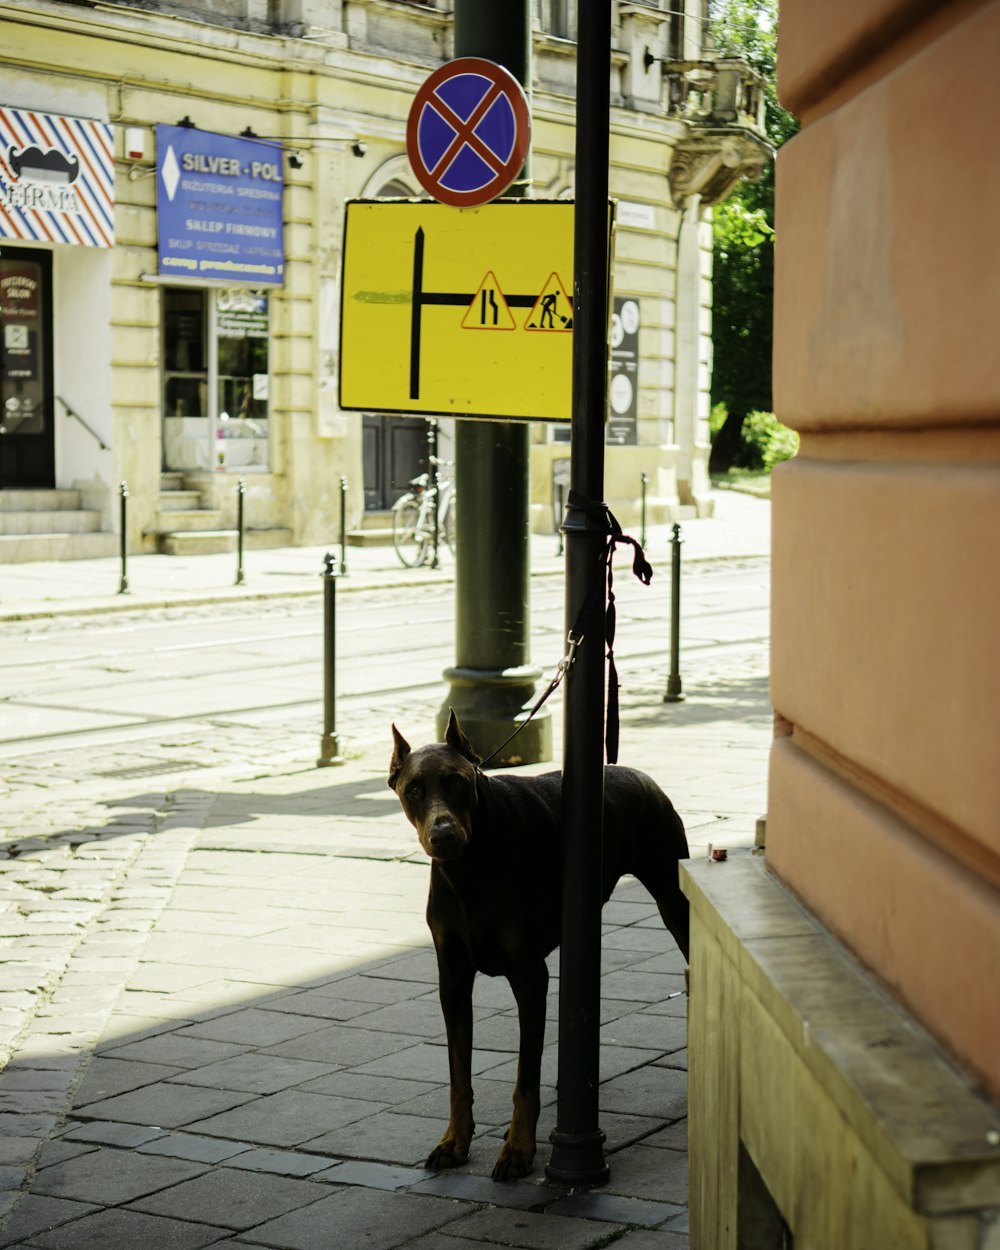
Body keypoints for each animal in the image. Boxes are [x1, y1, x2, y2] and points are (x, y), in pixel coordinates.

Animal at [387, 715, 690, 1180]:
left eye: (456, 781)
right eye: (414, 789)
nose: (443, 834)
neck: (472, 866)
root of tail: (633, 773)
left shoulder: (529, 975)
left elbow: (524, 1079)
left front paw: (517, 1150)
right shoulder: (452, 977)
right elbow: (458, 1073)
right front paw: (455, 1141)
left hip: (674, 898)